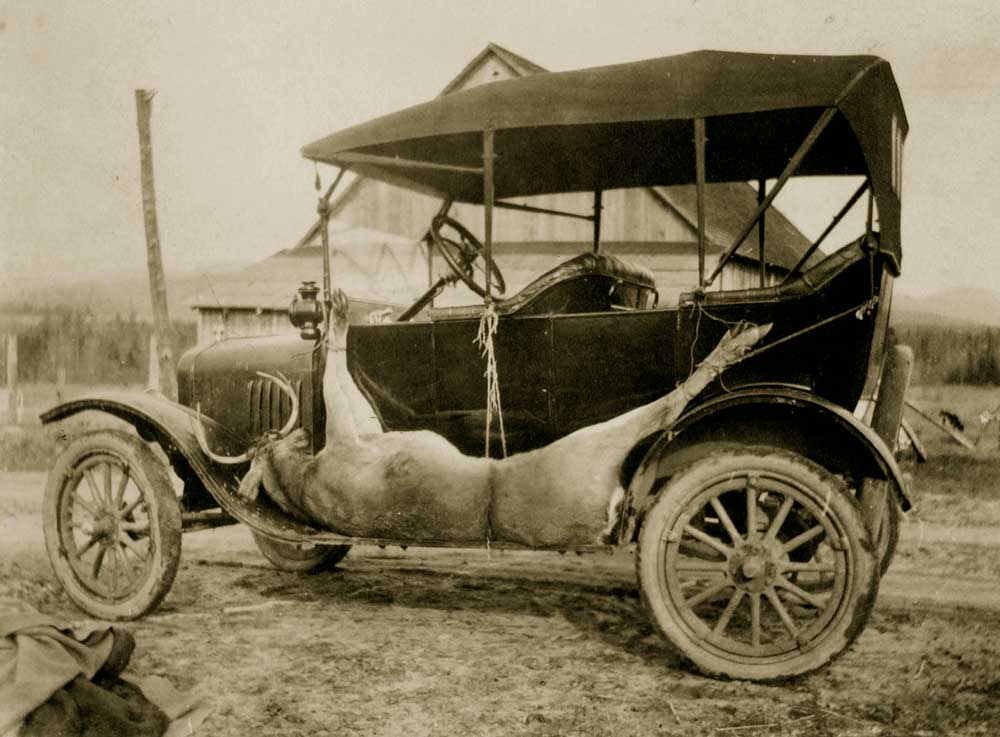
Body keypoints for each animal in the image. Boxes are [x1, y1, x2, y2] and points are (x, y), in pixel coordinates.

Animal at [197, 290, 772, 548]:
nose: (294, 430)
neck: (305, 479)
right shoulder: (350, 438)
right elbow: (335, 379)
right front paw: (336, 316)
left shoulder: (365, 432)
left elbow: (342, 384)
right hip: (590, 445)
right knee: (665, 407)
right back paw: (738, 340)